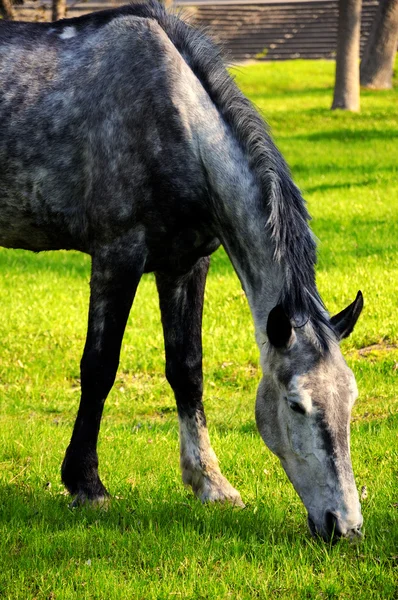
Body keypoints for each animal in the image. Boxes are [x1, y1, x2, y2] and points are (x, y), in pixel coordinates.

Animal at [0, 1, 364, 544]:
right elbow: (99, 366)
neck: (175, 118)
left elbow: (186, 368)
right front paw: (87, 484)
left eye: (351, 399)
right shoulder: (117, 255)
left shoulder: (186, 264)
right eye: (296, 403)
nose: (345, 526)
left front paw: (211, 482)